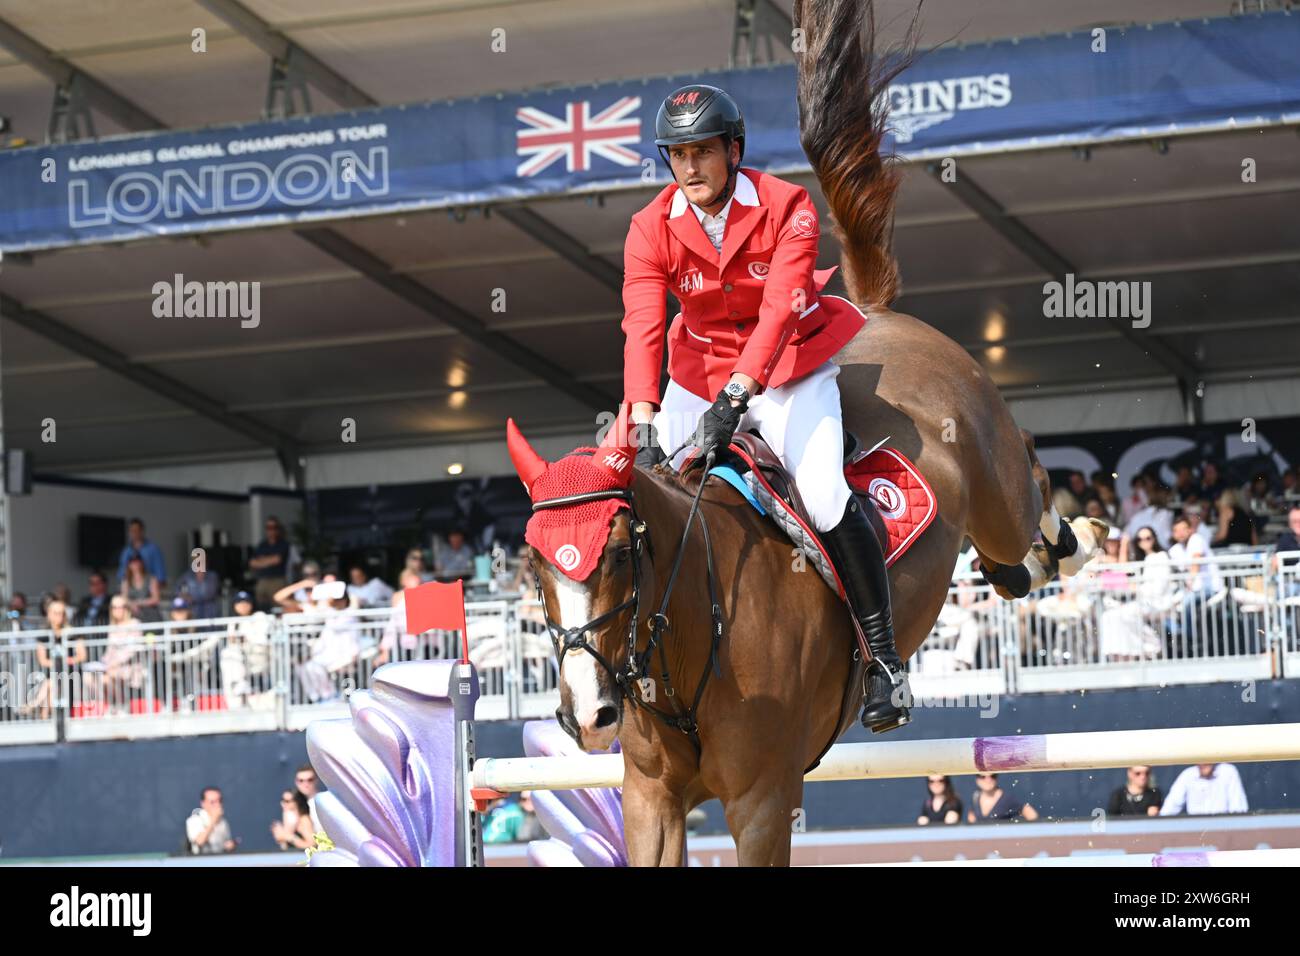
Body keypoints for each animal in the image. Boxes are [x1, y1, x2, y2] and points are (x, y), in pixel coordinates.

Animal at [504, 0, 1097, 868]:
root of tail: (876, 312)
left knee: (1025, 496)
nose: (588, 716)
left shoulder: (762, 801)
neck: (688, 627)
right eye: (535, 566)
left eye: (617, 551)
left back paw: (1069, 542)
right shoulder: (650, 801)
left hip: (990, 482)